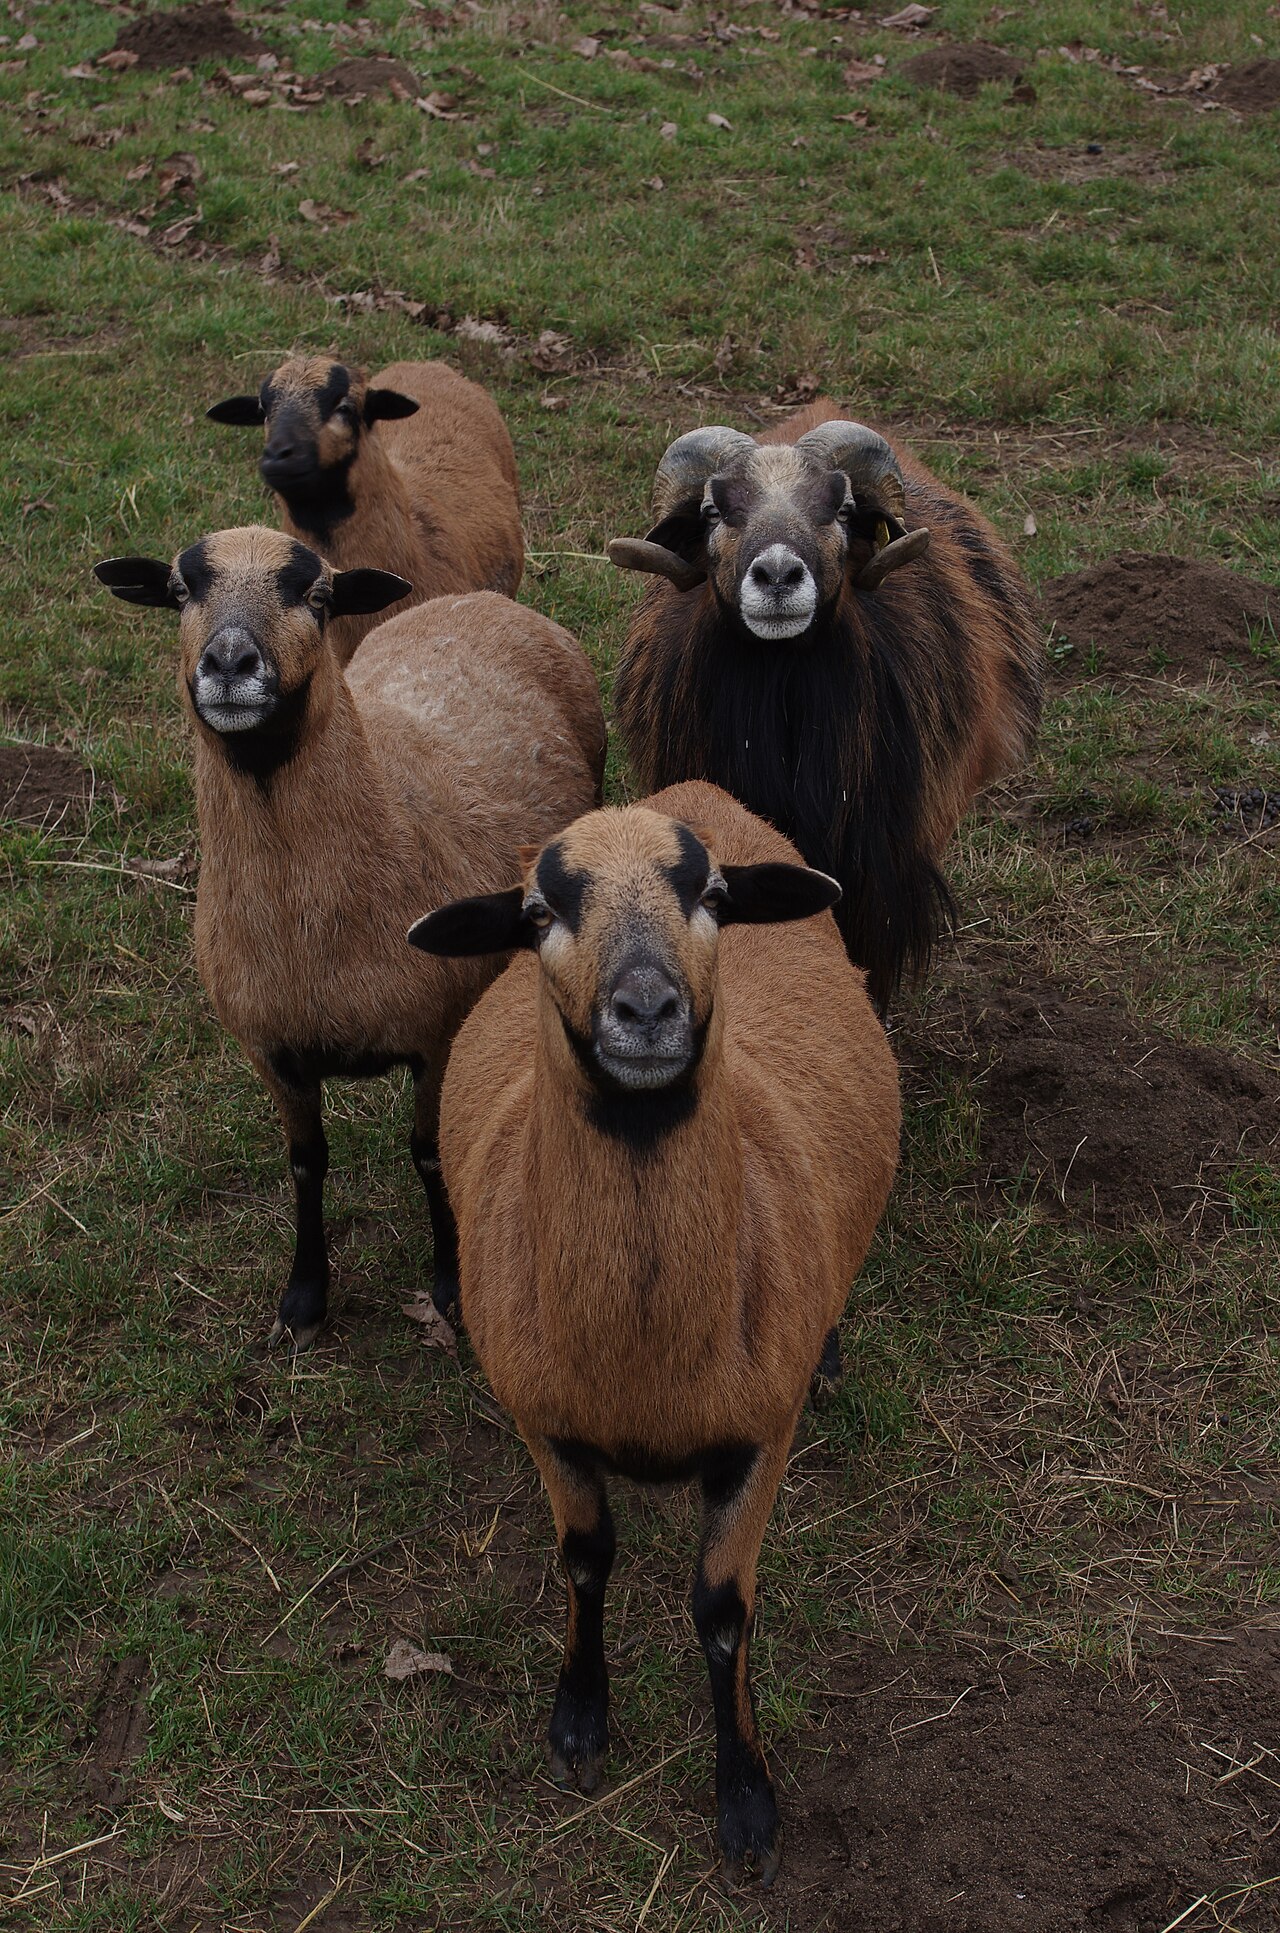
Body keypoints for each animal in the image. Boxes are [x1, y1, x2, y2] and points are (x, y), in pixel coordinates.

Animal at [94, 526, 605, 1347]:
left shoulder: (437, 1033)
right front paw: (304, 1300)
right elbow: (306, 1163)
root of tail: (484, 599)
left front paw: (448, 1283)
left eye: (317, 595)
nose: (229, 662)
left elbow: (429, 1155)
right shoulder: (273, 1051)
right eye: (179, 591)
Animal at [407, 779, 899, 1885]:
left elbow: (721, 1613)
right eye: (539, 912)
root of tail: (697, 791)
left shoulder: (759, 1439)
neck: (645, 1354)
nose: (644, 1008)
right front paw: (579, 1720)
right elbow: (586, 1559)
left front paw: (746, 1801)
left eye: (710, 895)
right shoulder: (546, 1424)